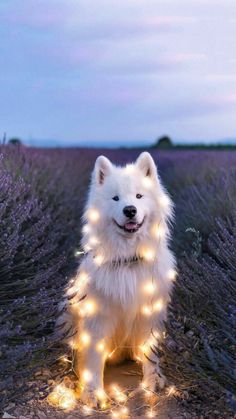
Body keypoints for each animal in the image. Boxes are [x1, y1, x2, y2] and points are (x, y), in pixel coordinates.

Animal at [63, 153, 176, 408]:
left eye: (139, 196)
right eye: (115, 198)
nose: (130, 210)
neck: (128, 259)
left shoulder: (149, 310)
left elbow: (150, 351)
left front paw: (152, 379)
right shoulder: (97, 315)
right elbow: (94, 358)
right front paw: (93, 392)